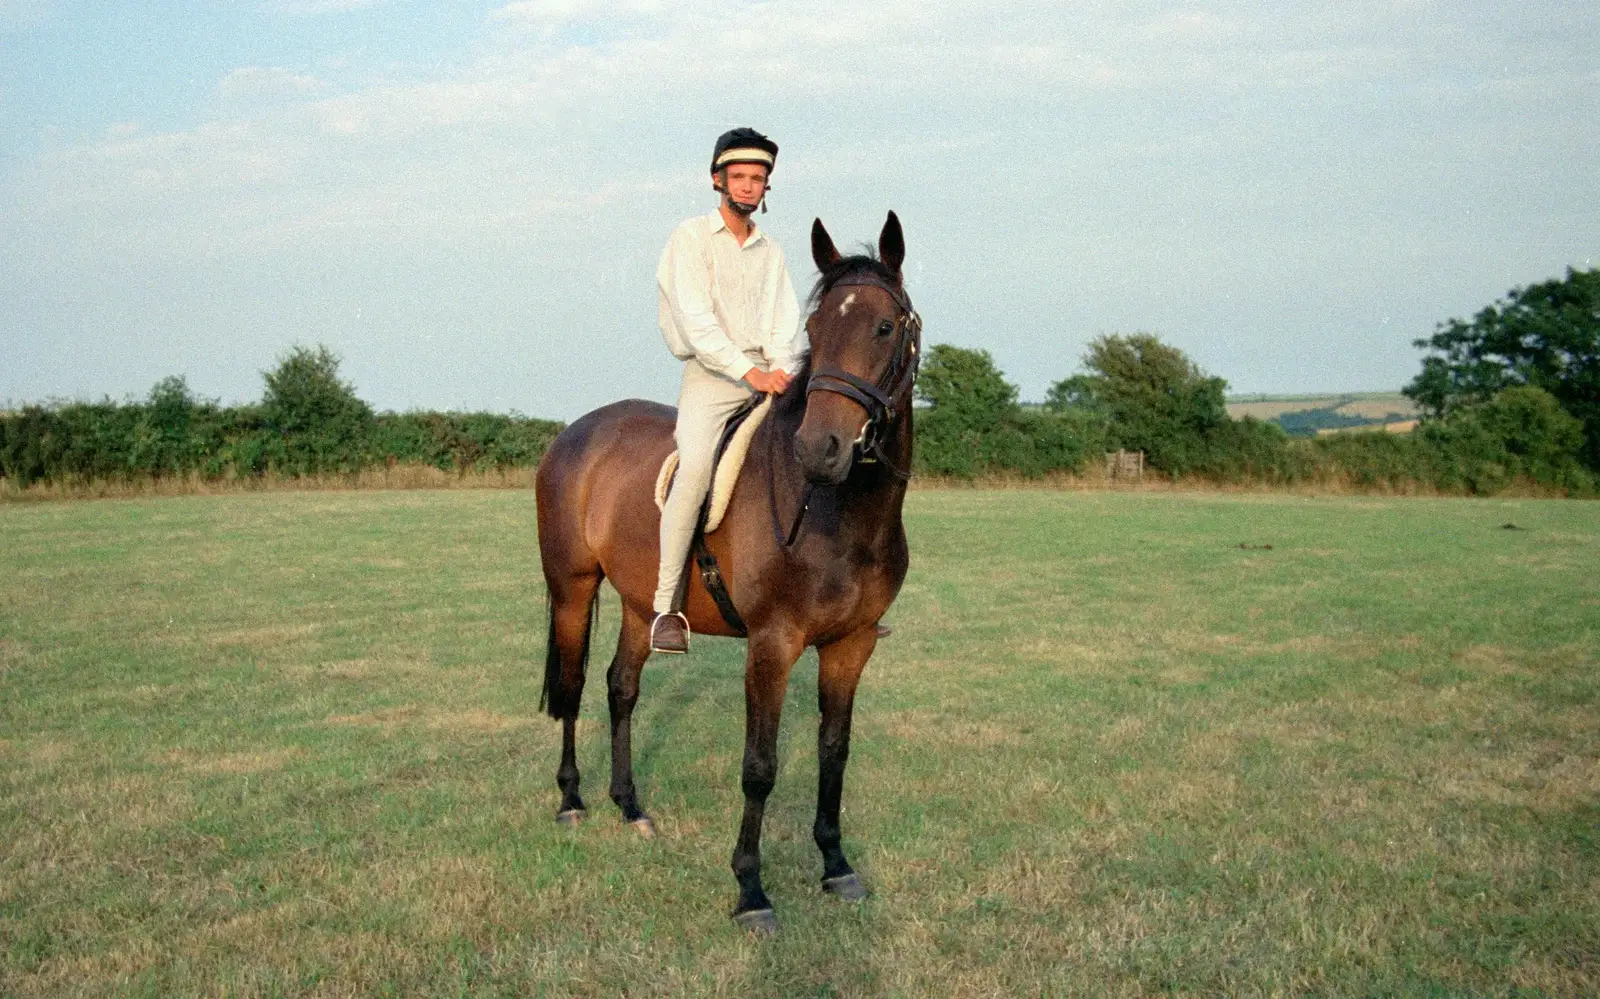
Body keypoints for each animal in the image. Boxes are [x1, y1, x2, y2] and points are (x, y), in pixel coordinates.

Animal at [534, 211, 921, 934]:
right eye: (816, 329)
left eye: (885, 327)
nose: (820, 448)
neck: (832, 510)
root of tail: (574, 434)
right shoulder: (772, 645)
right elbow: (760, 767)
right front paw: (751, 890)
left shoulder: (851, 646)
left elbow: (834, 751)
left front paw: (836, 864)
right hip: (572, 589)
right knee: (571, 688)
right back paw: (571, 801)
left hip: (641, 606)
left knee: (621, 688)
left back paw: (630, 806)